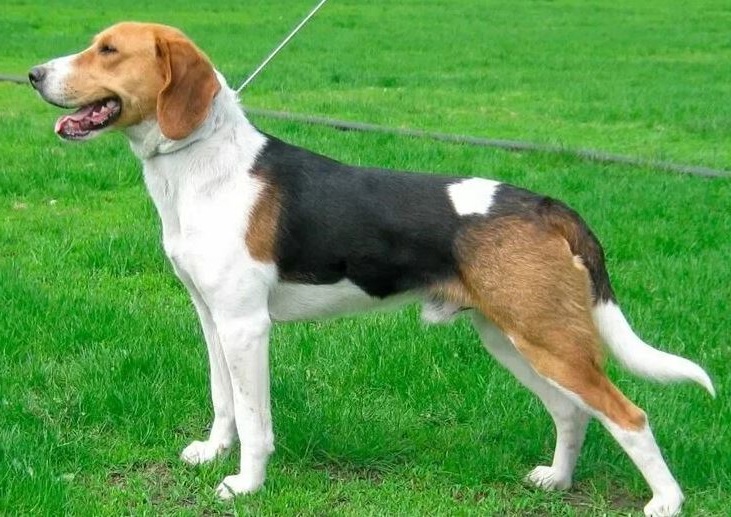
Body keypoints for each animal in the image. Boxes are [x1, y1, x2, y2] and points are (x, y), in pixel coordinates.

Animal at [29, 22, 714, 517]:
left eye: (108, 50)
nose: (33, 74)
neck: (202, 166)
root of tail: (549, 206)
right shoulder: (211, 317)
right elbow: (225, 402)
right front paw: (210, 454)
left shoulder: (246, 326)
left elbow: (254, 420)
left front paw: (245, 484)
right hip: (513, 337)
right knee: (572, 412)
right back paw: (556, 480)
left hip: (548, 339)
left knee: (629, 417)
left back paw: (665, 502)